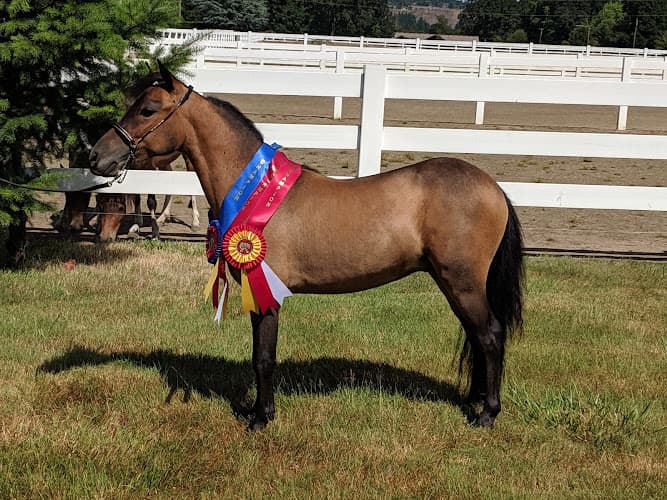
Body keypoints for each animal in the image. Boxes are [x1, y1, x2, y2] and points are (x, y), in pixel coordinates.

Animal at [89, 64, 524, 431]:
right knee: (476, 336)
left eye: (147, 109)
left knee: (489, 335)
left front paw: (260, 420)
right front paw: (256, 410)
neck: (254, 190)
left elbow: (264, 358)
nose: (97, 155)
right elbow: (257, 354)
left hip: (462, 282)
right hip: (453, 283)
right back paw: (473, 400)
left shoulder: (268, 296)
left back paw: (487, 413)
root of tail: (493, 188)